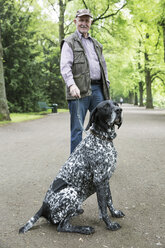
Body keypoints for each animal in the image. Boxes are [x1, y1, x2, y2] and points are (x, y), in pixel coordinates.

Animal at [19, 100, 124, 234]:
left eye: (116, 104)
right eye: (105, 107)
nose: (119, 110)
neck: (102, 139)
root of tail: (43, 207)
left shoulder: (105, 180)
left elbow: (109, 201)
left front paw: (115, 213)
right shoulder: (100, 180)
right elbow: (103, 208)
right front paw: (110, 224)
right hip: (71, 192)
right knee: (62, 226)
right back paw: (85, 229)